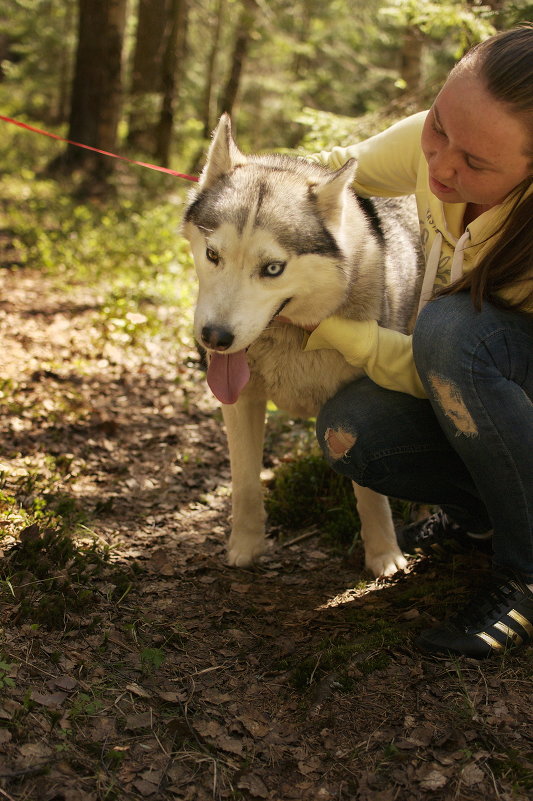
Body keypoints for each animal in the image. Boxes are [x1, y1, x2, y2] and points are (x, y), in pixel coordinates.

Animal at [185, 114, 422, 576]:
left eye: (273, 269)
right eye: (213, 254)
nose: (215, 339)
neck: (286, 339)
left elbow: (369, 495)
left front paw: (383, 554)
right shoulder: (240, 403)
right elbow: (245, 483)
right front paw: (246, 545)